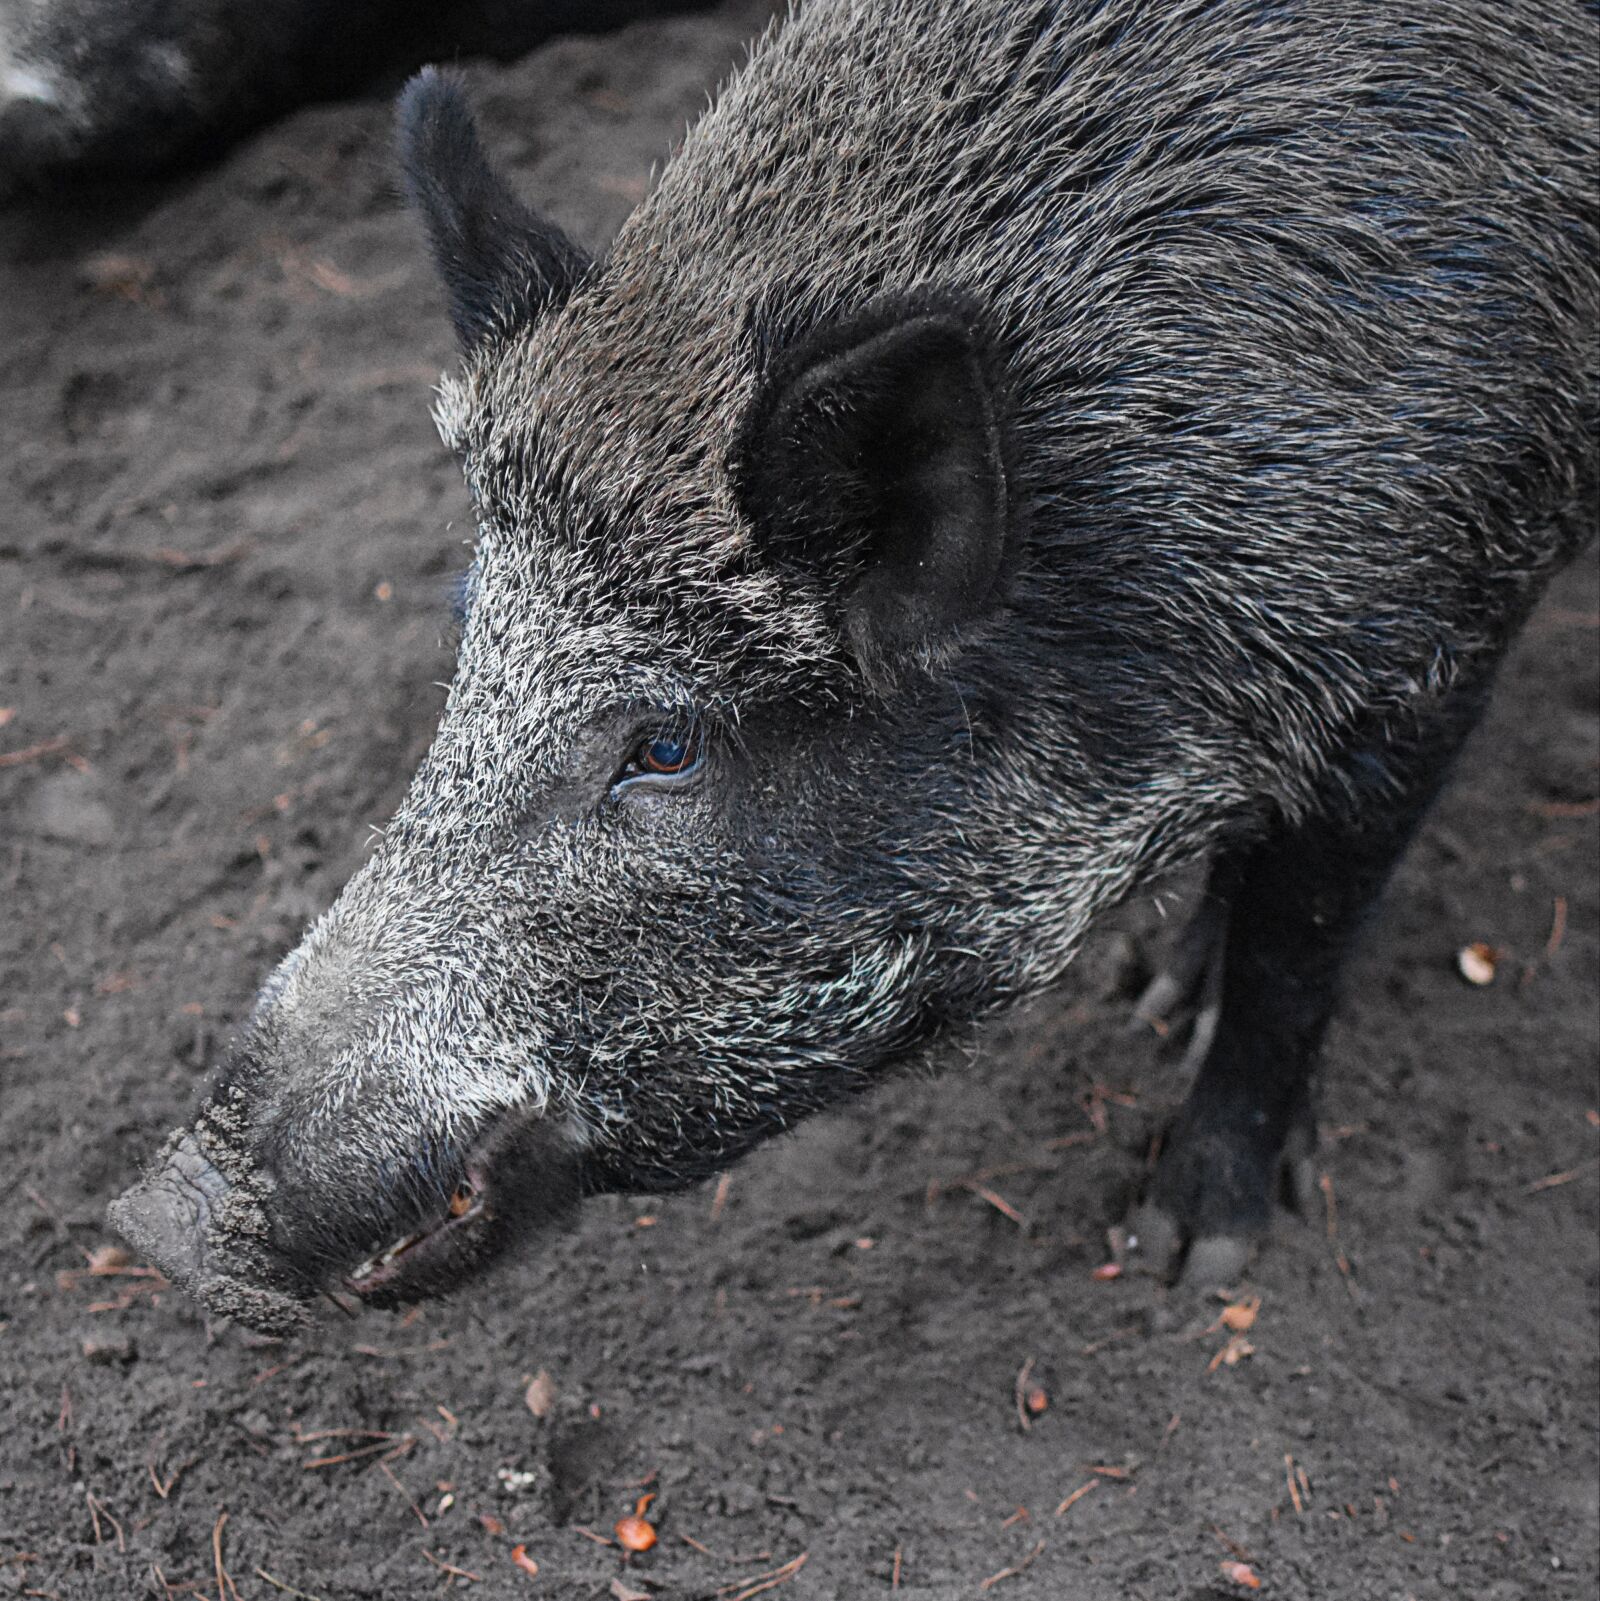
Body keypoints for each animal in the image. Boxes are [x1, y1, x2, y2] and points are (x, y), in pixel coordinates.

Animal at [111, 0, 1598, 1335]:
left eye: (664, 743)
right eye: (473, 629)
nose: (155, 1220)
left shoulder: (1436, 630)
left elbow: (1301, 939)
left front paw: (1187, 1256)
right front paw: (1159, 994)